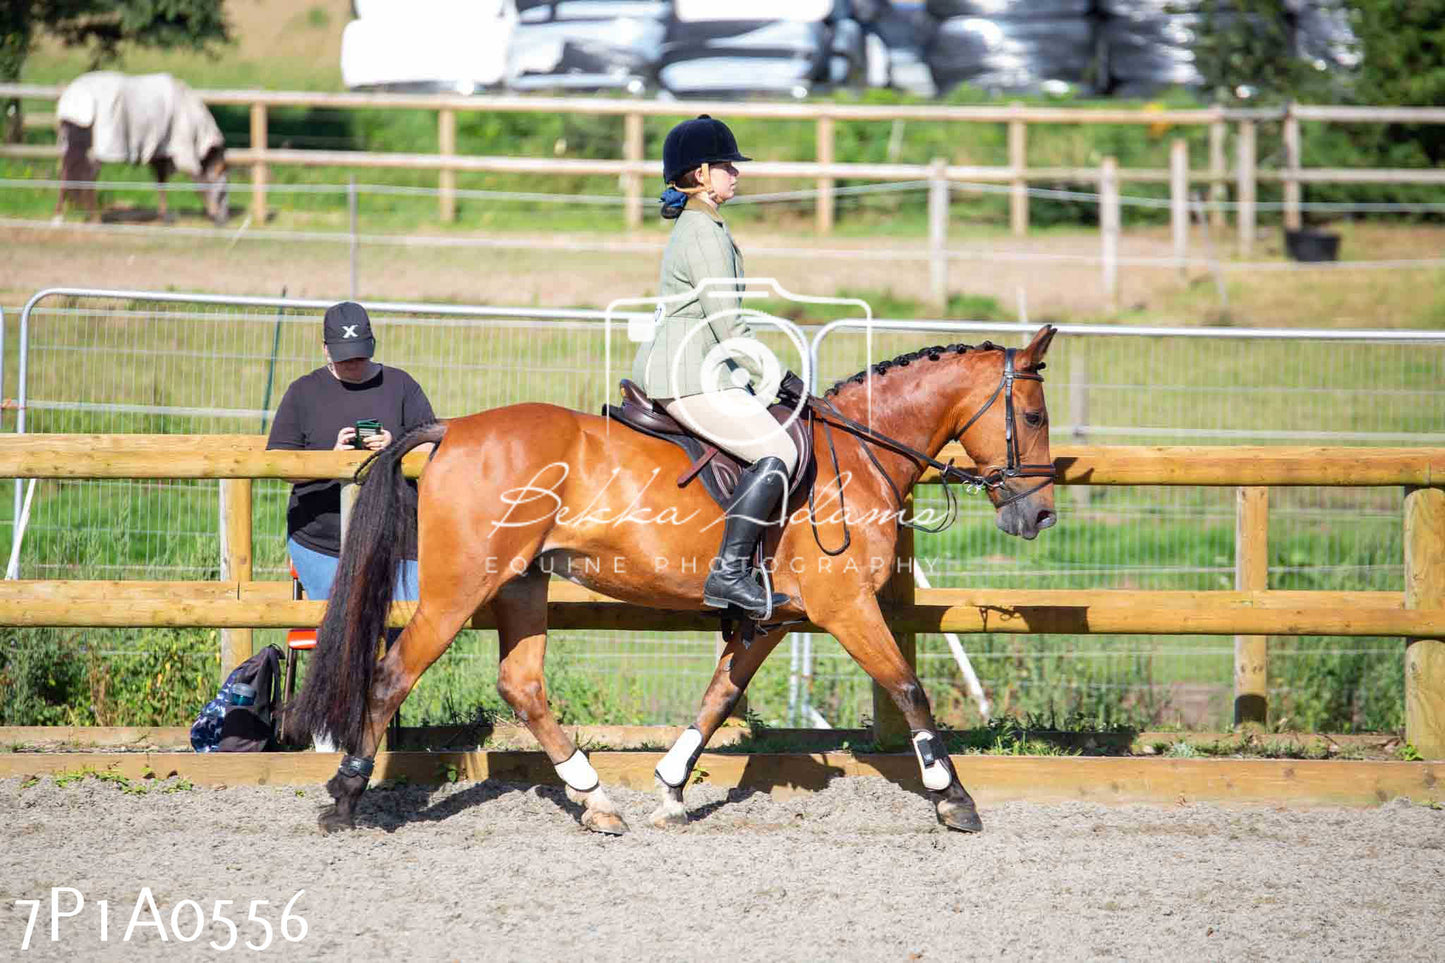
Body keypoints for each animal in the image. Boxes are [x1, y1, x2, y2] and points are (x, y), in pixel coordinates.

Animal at [53, 70, 229, 222]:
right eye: (223, 190)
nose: (223, 219)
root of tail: (77, 97)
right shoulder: (182, 150)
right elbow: (197, 179)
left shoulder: (160, 153)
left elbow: (161, 181)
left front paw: (163, 216)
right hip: (97, 150)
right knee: (89, 177)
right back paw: (94, 218)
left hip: (68, 146)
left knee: (65, 173)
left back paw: (59, 216)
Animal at [293, 322, 1063, 832]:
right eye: (1032, 414)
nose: (1040, 514)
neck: (858, 453)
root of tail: (453, 429)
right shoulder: (845, 607)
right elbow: (908, 689)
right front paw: (952, 797)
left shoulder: (773, 617)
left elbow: (719, 697)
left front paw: (668, 789)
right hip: (458, 589)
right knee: (393, 675)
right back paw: (346, 797)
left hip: (521, 582)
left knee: (521, 685)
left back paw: (596, 799)